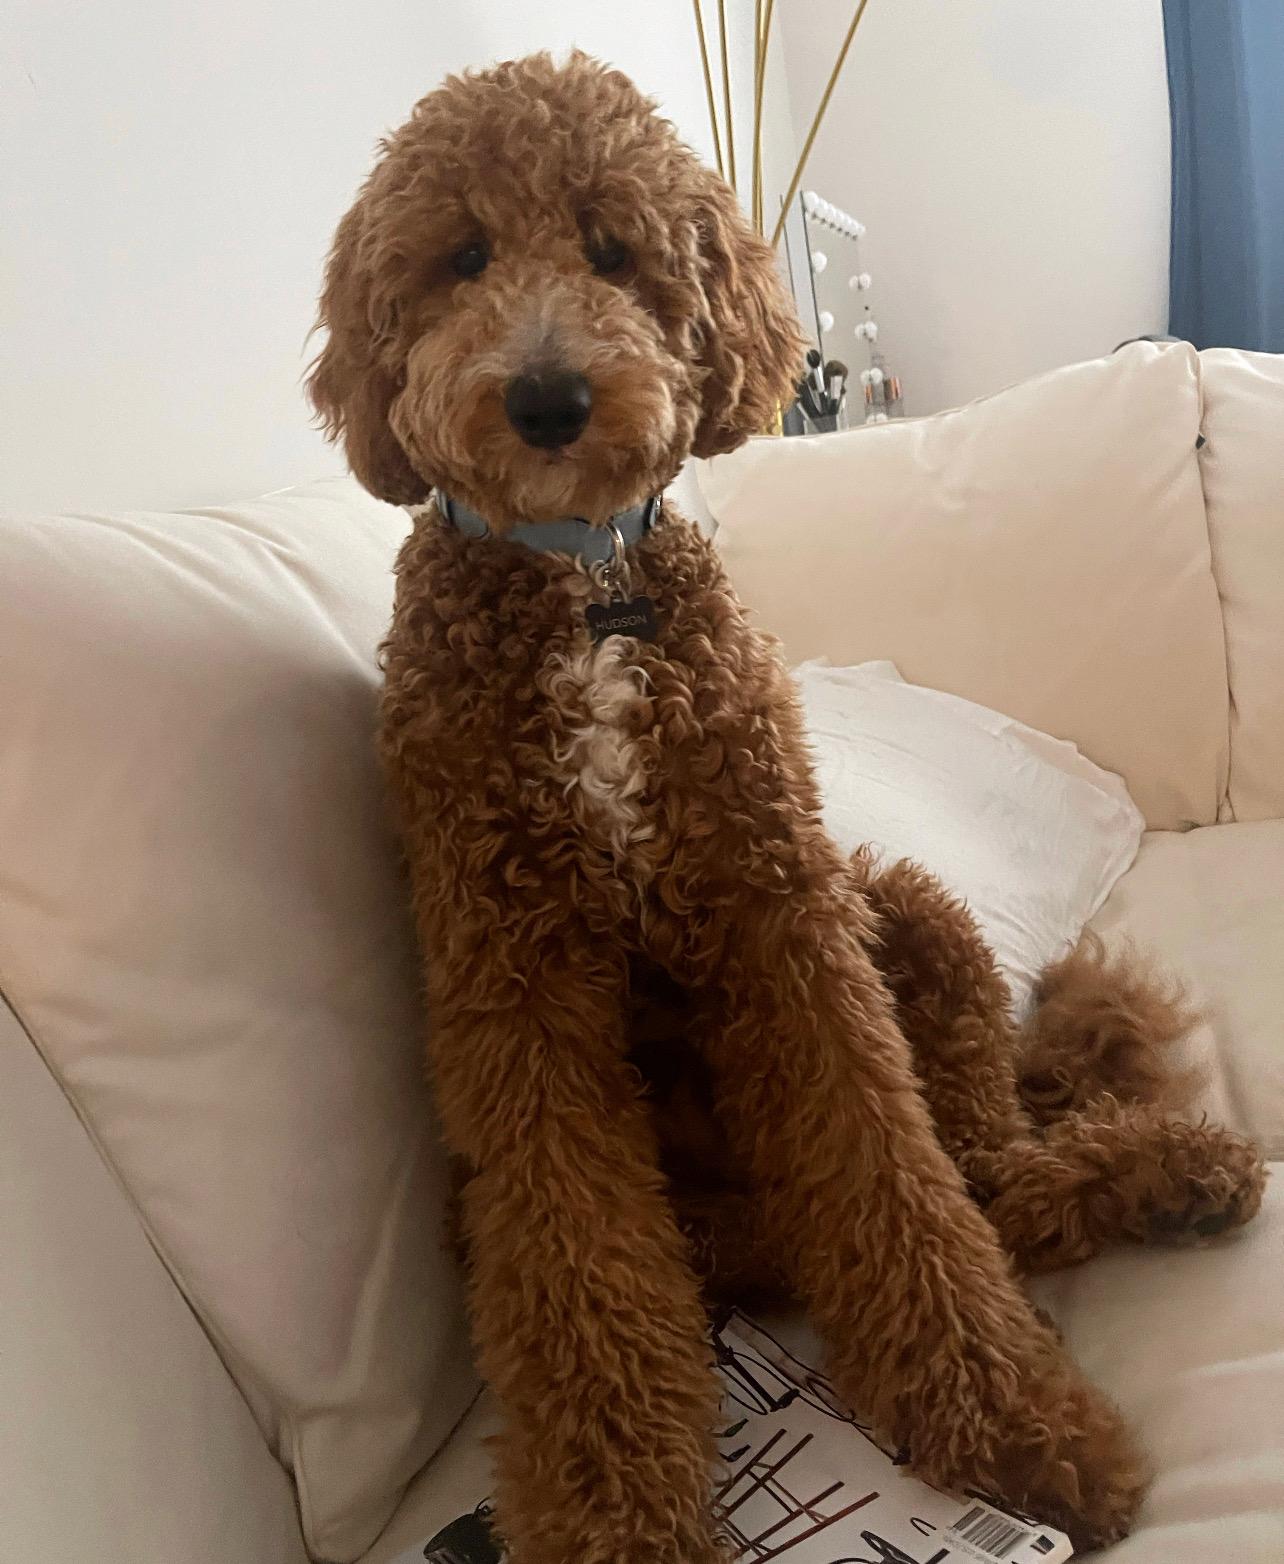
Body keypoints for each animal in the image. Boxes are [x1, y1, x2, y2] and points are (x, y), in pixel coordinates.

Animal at [310, 52, 1264, 1562]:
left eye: (613, 250)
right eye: (461, 256)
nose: (547, 399)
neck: (584, 590)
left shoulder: (783, 918)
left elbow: (892, 1182)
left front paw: (1008, 1420)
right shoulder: (515, 987)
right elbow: (582, 1274)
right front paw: (613, 1518)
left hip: (904, 909)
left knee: (981, 1168)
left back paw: (1166, 1172)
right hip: (684, 1202)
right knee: (941, 1202)